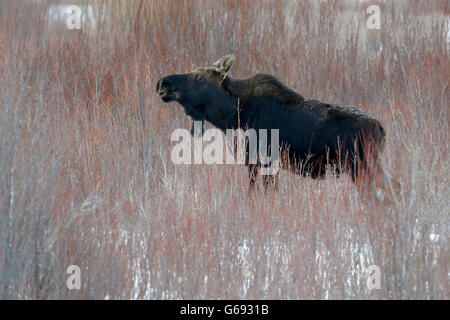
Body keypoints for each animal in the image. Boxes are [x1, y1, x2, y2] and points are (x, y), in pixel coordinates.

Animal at [156, 54, 400, 202]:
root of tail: (381, 128)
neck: (233, 115)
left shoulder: (260, 161)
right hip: (373, 166)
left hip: (360, 168)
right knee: (394, 188)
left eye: (199, 77)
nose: (163, 83)